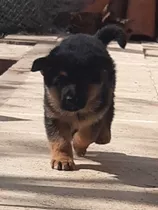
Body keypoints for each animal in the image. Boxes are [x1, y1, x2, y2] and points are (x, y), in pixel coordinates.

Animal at [31, 24, 126, 171]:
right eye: (59, 82)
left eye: (83, 81)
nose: (71, 100)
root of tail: (94, 37)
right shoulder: (55, 116)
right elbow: (60, 140)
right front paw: (62, 159)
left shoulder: (95, 116)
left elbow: (86, 135)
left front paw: (77, 146)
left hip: (108, 95)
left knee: (109, 114)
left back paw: (104, 136)